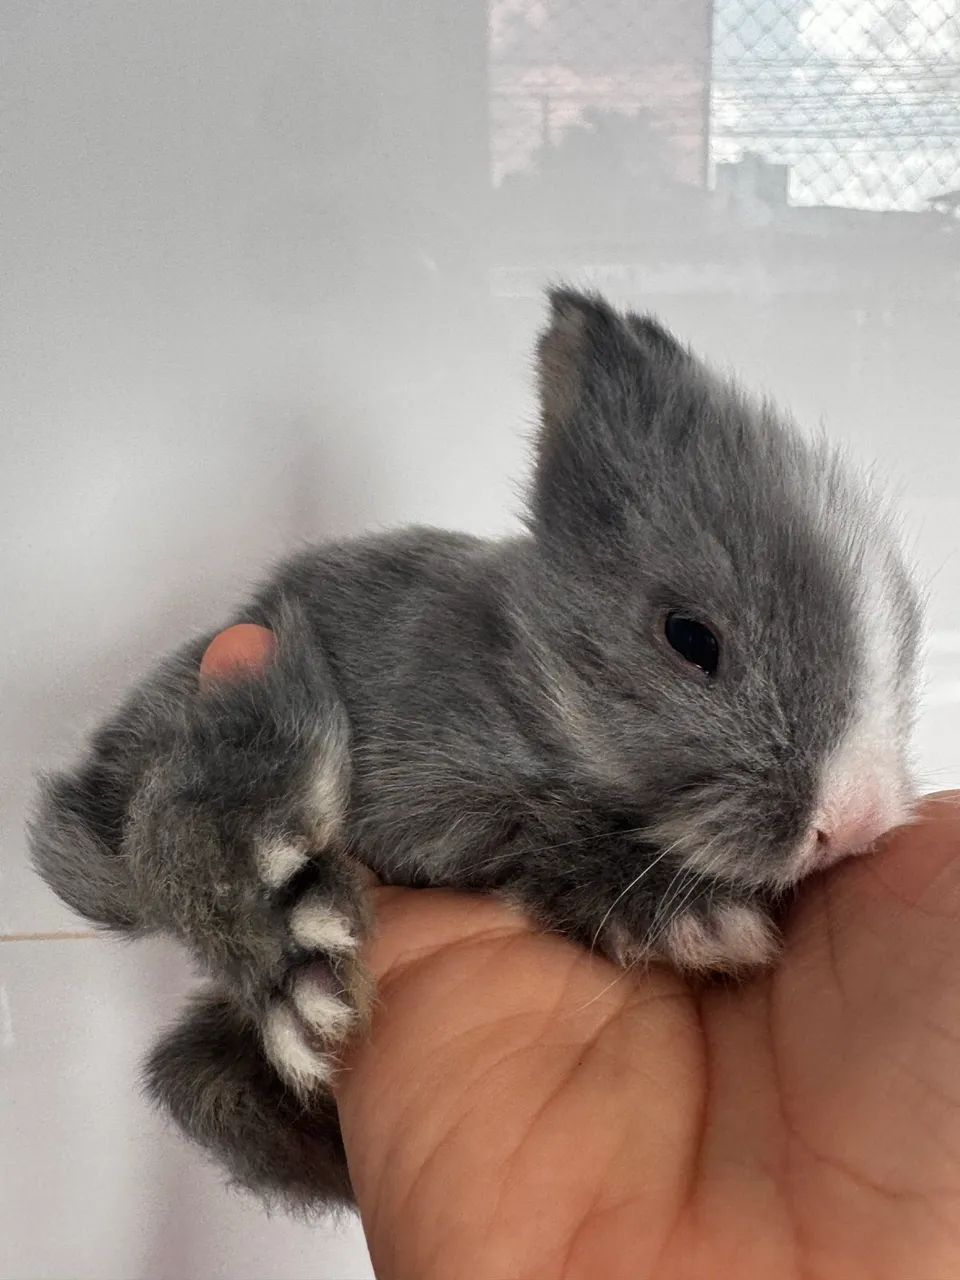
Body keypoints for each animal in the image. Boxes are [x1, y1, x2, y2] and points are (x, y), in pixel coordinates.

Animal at [29, 287, 922, 1211]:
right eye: (690, 638)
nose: (855, 821)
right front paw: (700, 920)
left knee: (186, 1073)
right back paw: (290, 950)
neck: (530, 684)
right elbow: (554, 837)